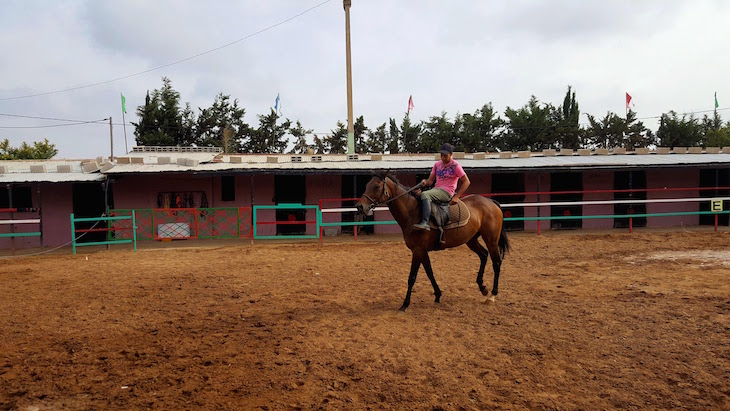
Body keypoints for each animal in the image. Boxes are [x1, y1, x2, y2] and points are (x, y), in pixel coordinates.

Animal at [352, 171, 506, 312]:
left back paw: (492, 295)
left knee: (496, 262)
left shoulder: (417, 250)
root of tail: (491, 202)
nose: (360, 206)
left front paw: (405, 304)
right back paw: (483, 288)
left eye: (377, 186)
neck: (413, 212)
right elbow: (429, 272)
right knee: (484, 255)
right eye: (367, 185)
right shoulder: (422, 251)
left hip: (491, 239)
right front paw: (437, 294)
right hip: (471, 240)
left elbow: (412, 277)